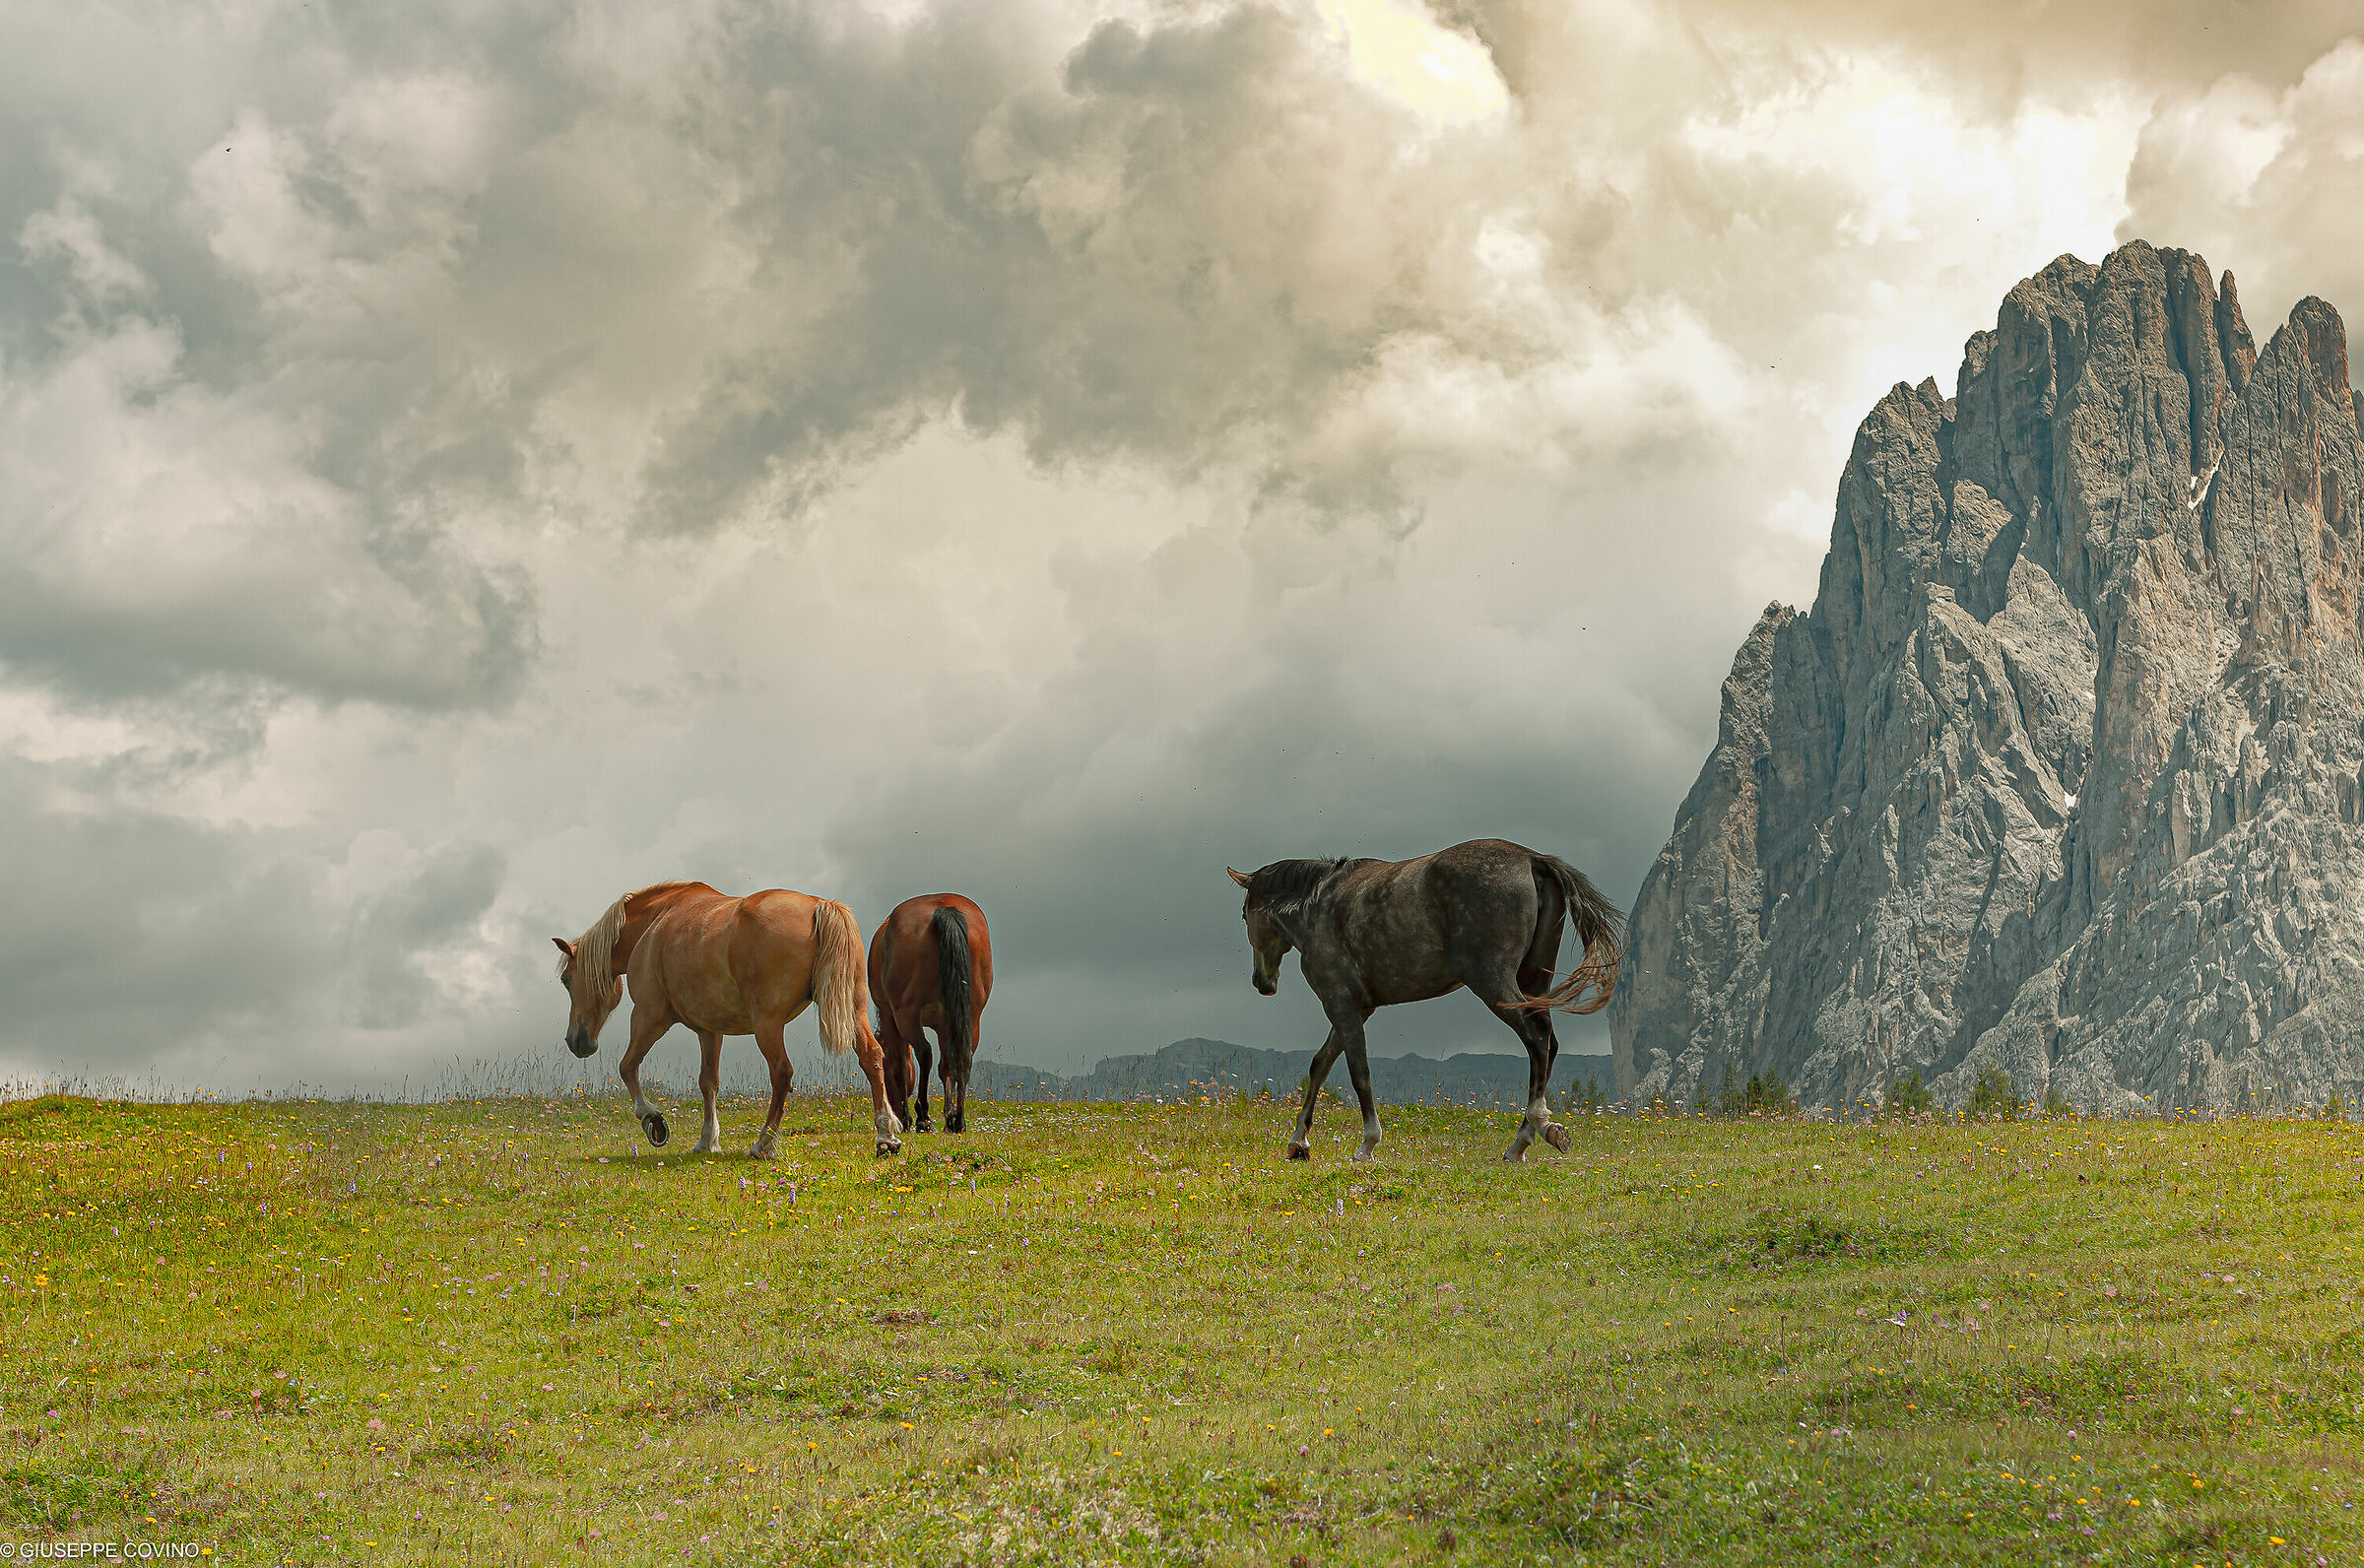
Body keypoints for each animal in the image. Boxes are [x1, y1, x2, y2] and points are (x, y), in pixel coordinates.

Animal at [552, 881, 903, 1158]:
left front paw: (653, 1120)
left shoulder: (649, 1016)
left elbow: (627, 1067)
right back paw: (885, 1136)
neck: (653, 926)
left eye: (567, 980)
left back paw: (763, 1144)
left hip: (767, 1025)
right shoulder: (710, 1030)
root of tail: (819, 905)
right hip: (854, 1012)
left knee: (782, 1072)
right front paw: (707, 1140)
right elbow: (708, 1082)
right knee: (872, 1057)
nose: (575, 1040)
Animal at [869, 894, 994, 1135]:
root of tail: (944, 908)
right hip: (972, 1017)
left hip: (906, 1015)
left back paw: (922, 1116)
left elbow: (900, 1065)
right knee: (963, 1058)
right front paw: (949, 1115)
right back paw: (958, 1120)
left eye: (883, 1066)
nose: (892, 1104)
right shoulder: (946, 1025)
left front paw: (907, 1116)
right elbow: (946, 1067)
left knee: (925, 1053)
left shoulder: (891, 1018)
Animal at [1227, 838, 1622, 1163]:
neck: (1320, 905)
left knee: (1537, 1040)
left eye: (1245, 915)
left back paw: (1538, 1128)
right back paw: (1521, 1142)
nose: (1262, 982)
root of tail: (1531, 859)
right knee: (1547, 1045)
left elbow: (1359, 1071)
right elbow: (1320, 1065)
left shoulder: (1340, 1004)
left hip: (1494, 984)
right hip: (1532, 982)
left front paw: (1368, 1143)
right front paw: (1298, 1142)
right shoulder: (1358, 1008)